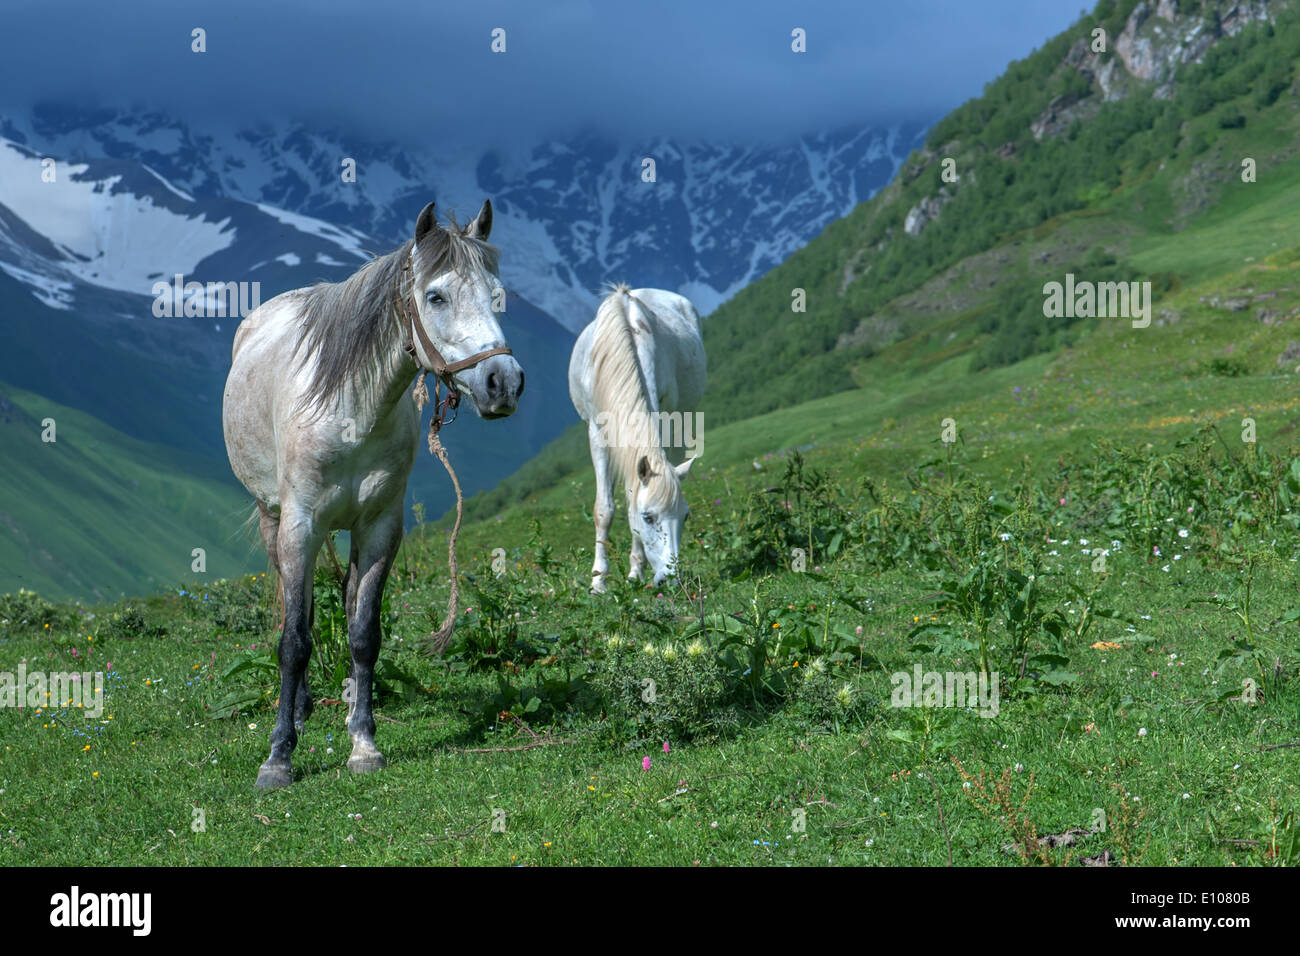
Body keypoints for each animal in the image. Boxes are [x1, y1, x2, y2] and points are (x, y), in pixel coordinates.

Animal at [222, 200, 524, 789]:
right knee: (298, 611)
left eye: (495, 293)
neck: (349, 410)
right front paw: (279, 756)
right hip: (274, 520)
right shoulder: (299, 525)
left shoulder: (381, 525)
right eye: (436, 296)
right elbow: (294, 640)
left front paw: (363, 742)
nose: (503, 382)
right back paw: (300, 709)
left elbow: (364, 633)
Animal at [568, 285, 706, 593]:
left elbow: (632, 497)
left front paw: (635, 571)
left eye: (686, 516)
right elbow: (604, 509)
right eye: (649, 517)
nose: (671, 579)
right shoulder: (597, 433)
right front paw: (598, 581)